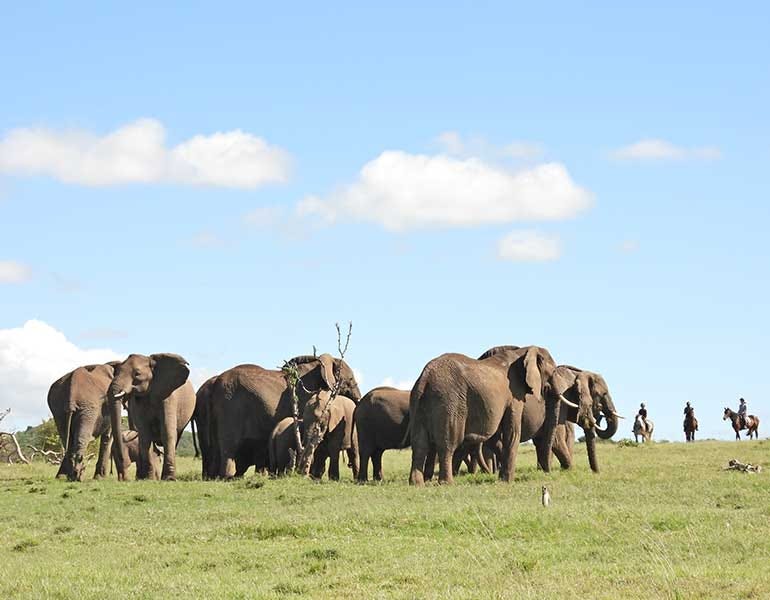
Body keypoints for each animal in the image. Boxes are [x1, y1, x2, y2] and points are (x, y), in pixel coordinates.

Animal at [207, 352, 356, 478]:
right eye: (350, 381)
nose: (348, 465)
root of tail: (215, 382)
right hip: (230, 405)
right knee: (229, 445)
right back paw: (228, 477)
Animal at [408, 344, 576, 486]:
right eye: (552, 372)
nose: (546, 473)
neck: (523, 351)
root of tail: (426, 377)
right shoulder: (514, 393)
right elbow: (512, 432)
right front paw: (507, 481)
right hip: (449, 402)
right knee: (448, 443)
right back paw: (446, 483)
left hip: (418, 401)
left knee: (419, 443)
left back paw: (416, 484)